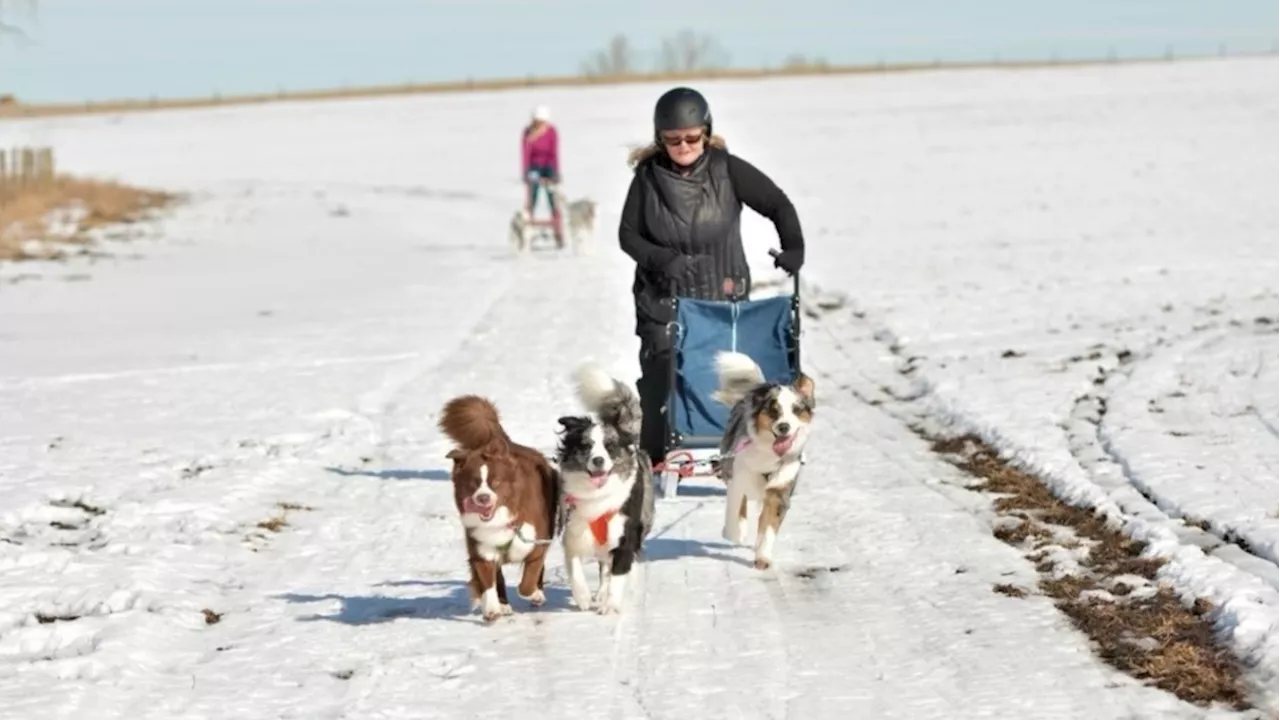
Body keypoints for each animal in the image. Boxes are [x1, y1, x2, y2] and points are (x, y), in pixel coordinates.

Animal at [440, 394, 560, 620]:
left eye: (495, 483)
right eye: (473, 484)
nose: (483, 498)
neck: (500, 520)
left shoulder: (536, 543)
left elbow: (527, 582)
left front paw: (534, 594)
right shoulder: (481, 549)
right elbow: (488, 583)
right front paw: (492, 609)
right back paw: (503, 604)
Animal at [555, 363, 655, 609]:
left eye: (610, 447)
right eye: (586, 446)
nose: (598, 460)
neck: (597, 495)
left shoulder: (625, 532)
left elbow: (617, 573)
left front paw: (610, 606)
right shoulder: (572, 528)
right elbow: (575, 567)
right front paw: (583, 598)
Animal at [716, 351, 814, 568]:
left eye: (796, 410)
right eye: (774, 410)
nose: (784, 427)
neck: (769, 453)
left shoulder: (780, 489)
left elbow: (769, 526)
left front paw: (762, 557)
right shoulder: (737, 478)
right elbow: (735, 511)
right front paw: (734, 533)